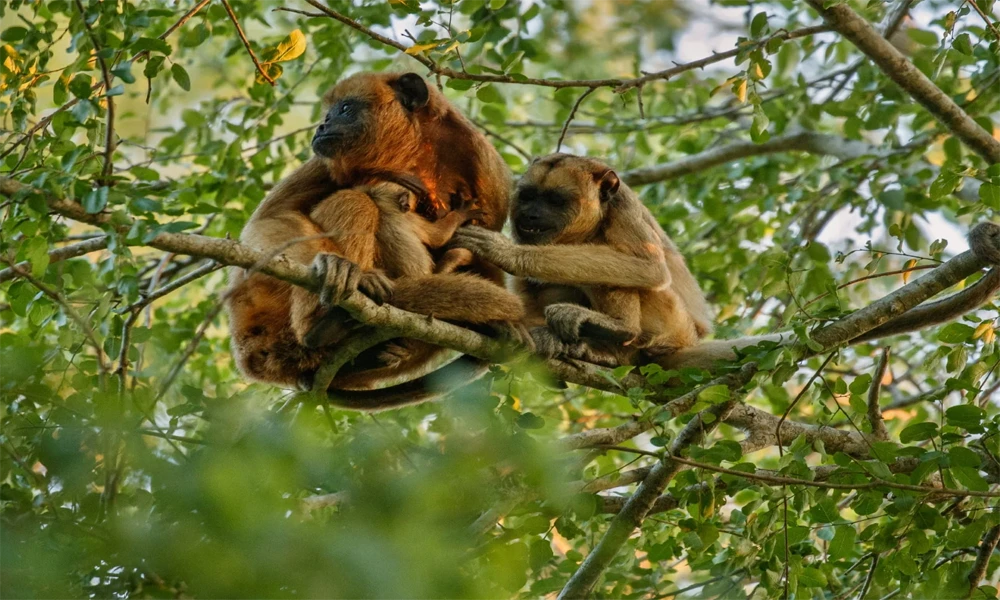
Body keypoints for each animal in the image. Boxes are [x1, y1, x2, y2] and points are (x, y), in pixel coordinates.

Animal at [226, 71, 524, 407]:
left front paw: (501, 324)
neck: (415, 151)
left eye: (344, 109)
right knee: (354, 201)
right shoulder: (325, 161)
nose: (322, 126)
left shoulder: (487, 170)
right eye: (327, 114)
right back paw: (325, 320)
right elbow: (270, 220)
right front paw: (334, 266)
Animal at [451, 153, 716, 368]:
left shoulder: (623, 206)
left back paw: (619, 328)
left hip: (673, 322)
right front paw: (510, 326)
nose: (530, 214)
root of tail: (691, 339)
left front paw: (505, 253)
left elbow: (650, 267)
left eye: (555, 200)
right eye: (528, 196)